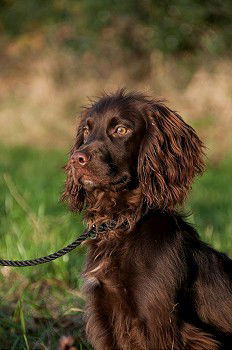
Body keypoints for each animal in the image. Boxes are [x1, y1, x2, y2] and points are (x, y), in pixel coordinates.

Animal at [62, 89, 232, 348]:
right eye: (86, 131)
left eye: (121, 129)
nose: (76, 159)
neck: (122, 224)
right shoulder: (103, 317)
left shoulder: (158, 324)